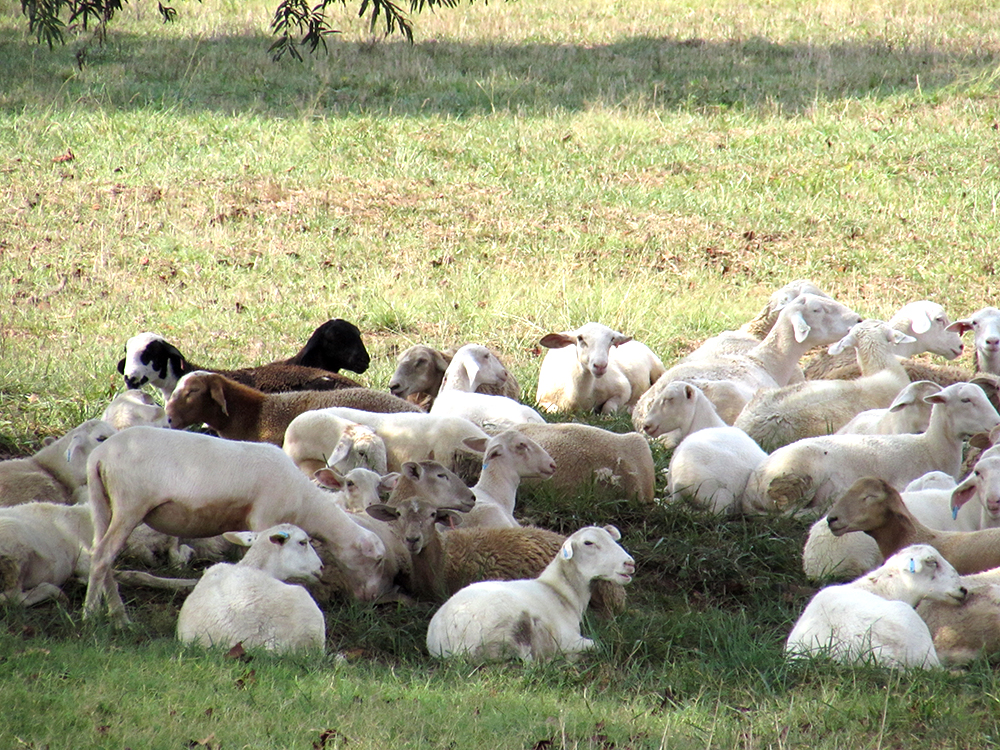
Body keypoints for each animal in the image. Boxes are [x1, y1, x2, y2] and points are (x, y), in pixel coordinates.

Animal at [82, 427, 389, 623]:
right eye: (377, 560)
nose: (372, 599)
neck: (306, 503)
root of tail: (99, 455)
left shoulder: (248, 525)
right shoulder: (266, 518)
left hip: (103, 503)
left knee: (102, 554)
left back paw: (117, 614)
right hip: (131, 502)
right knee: (103, 556)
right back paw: (90, 615)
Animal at [425, 525, 634, 661]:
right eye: (588, 543)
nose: (629, 563)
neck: (560, 592)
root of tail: (447, 645)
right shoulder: (568, 638)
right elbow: (598, 645)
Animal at [535, 322, 664, 414]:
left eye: (612, 339)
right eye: (580, 338)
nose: (600, 366)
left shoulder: (623, 388)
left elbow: (608, 408)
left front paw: (625, 409)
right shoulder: (542, 399)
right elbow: (555, 410)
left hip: (658, 368)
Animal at [742, 382, 1000, 514]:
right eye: (966, 400)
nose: (997, 421)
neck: (930, 448)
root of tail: (752, 484)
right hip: (795, 480)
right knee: (790, 514)